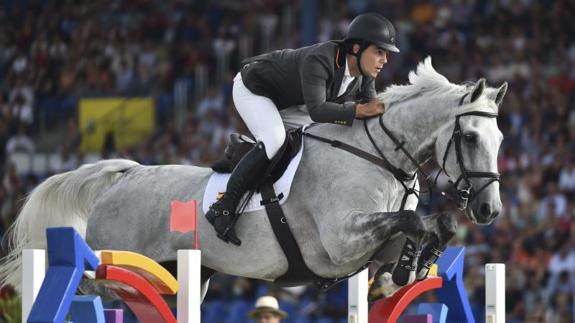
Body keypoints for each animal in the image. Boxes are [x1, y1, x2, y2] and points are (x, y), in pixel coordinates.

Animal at [0, 57, 506, 302]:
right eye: (469, 136)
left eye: (501, 138)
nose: (489, 210)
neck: (378, 156)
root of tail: (127, 175)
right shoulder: (340, 242)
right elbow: (414, 222)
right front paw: (414, 261)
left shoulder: (368, 244)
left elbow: (425, 226)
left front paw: (411, 267)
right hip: (120, 264)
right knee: (90, 285)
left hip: (187, 275)